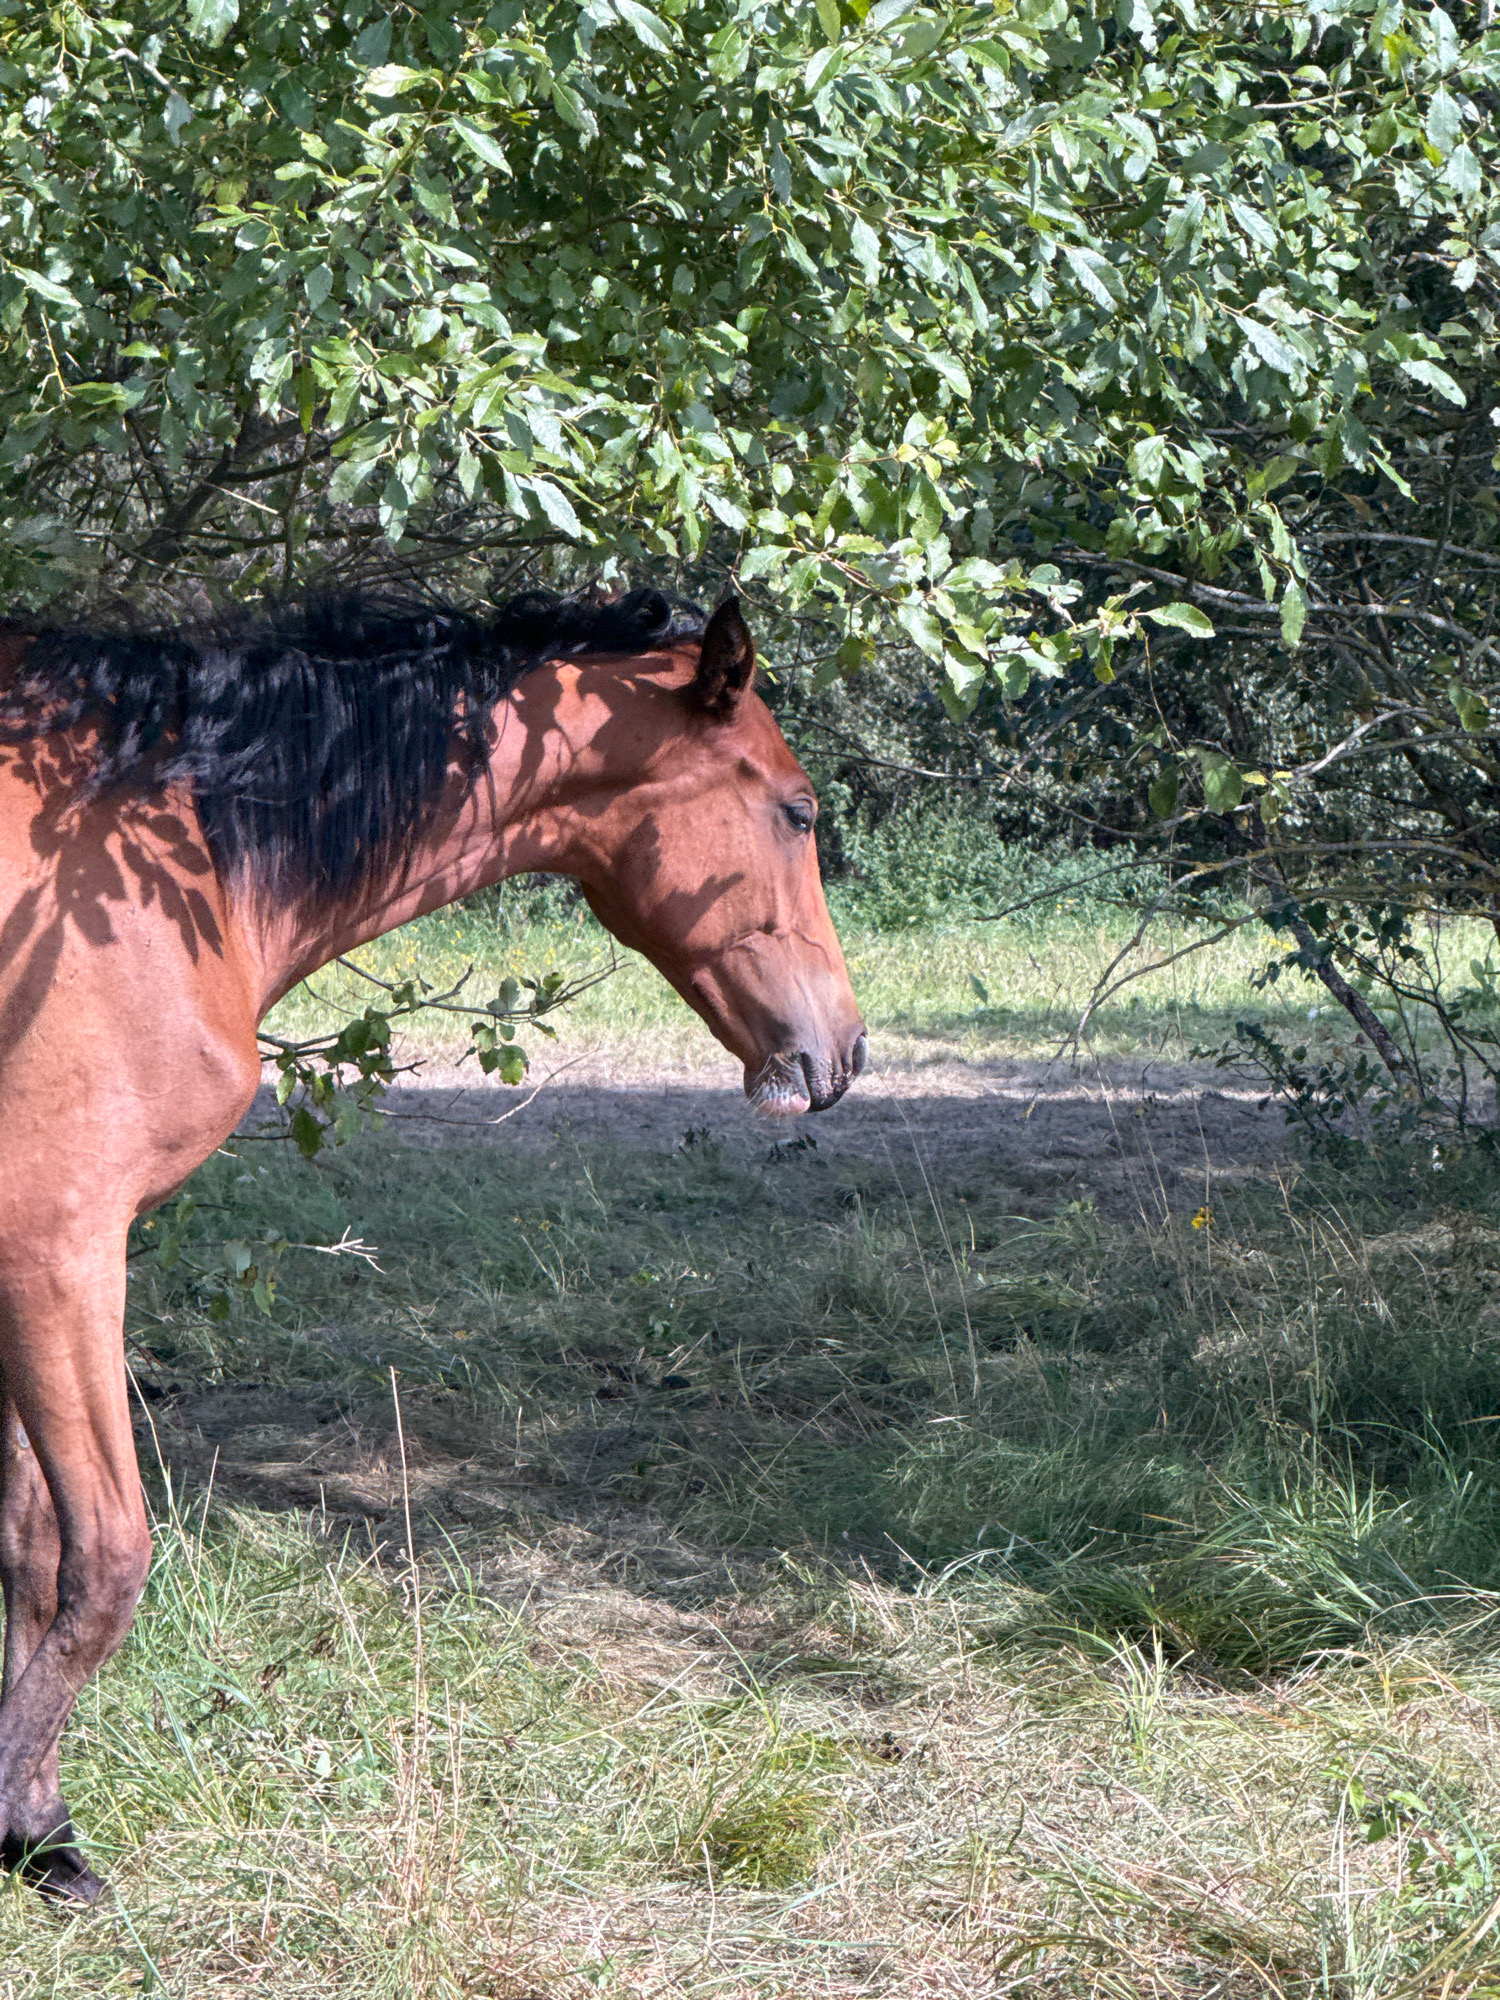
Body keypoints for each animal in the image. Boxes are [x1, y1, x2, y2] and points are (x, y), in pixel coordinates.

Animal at [0, 585, 866, 1901]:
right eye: (797, 808)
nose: (843, 1053)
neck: (164, 848)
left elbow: (29, 1545)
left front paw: (34, 1826)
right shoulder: (59, 1247)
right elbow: (102, 1557)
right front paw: (28, 1820)